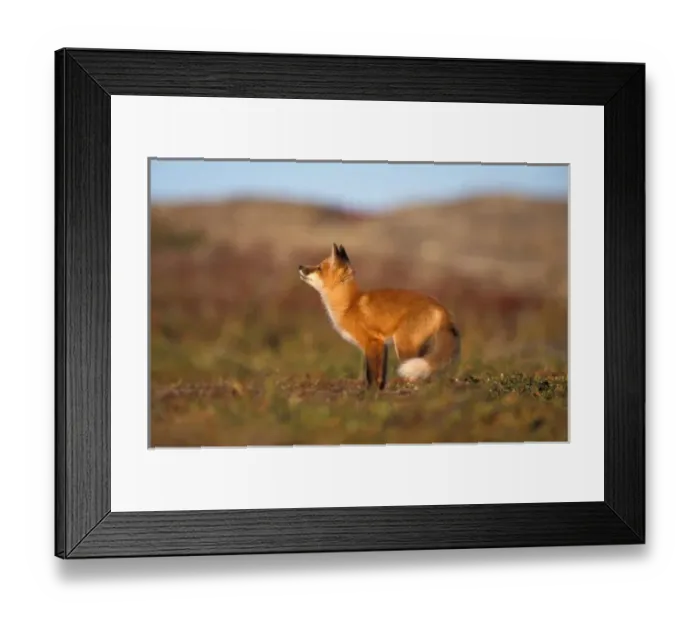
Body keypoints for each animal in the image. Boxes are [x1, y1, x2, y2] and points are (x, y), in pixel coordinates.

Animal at [299, 243, 461, 390]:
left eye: (319, 268)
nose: (300, 266)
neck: (349, 305)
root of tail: (441, 307)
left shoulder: (372, 342)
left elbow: (371, 374)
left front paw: (370, 392)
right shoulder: (383, 345)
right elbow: (380, 375)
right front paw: (379, 390)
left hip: (404, 347)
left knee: (415, 377)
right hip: (418, 347)